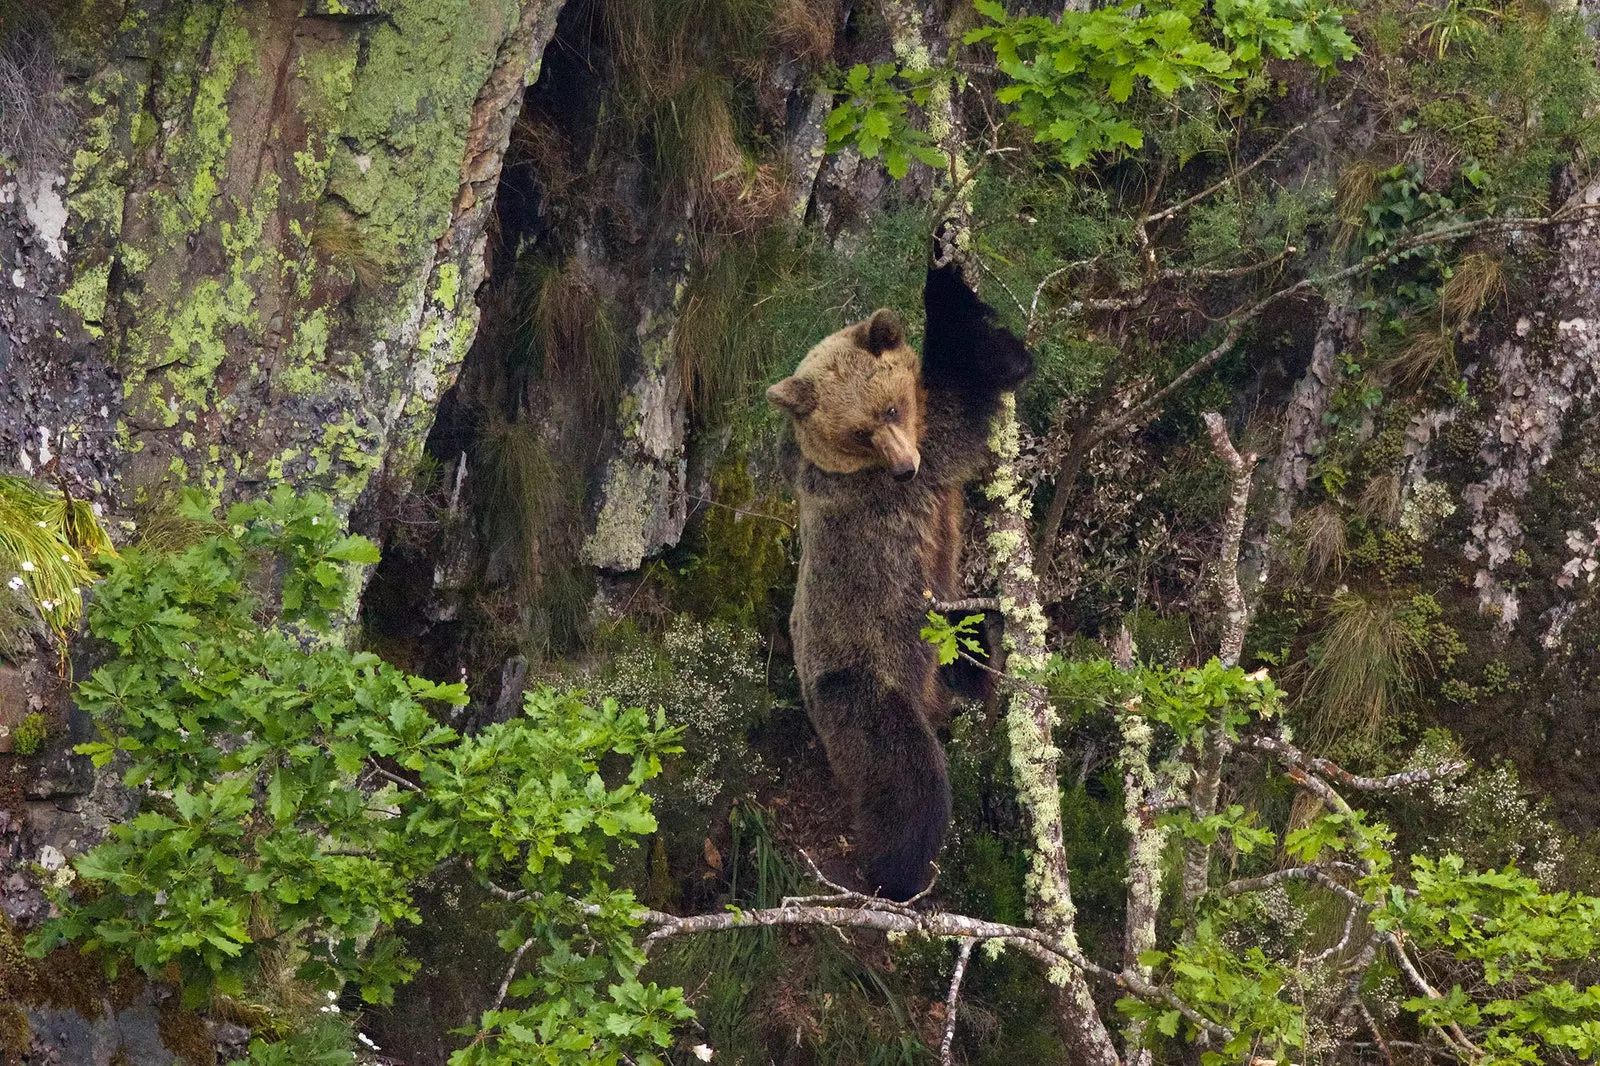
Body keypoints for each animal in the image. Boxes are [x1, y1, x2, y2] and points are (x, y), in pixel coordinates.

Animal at [764, 249, 1036, 896]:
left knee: (968, 644)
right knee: (908, 777)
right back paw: (897, 874)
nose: (903, 469)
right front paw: (944, 266)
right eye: (860, 429)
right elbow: (981, 371)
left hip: (931, 649)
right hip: (865, 678)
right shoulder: (922, 457)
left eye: (889, 408)